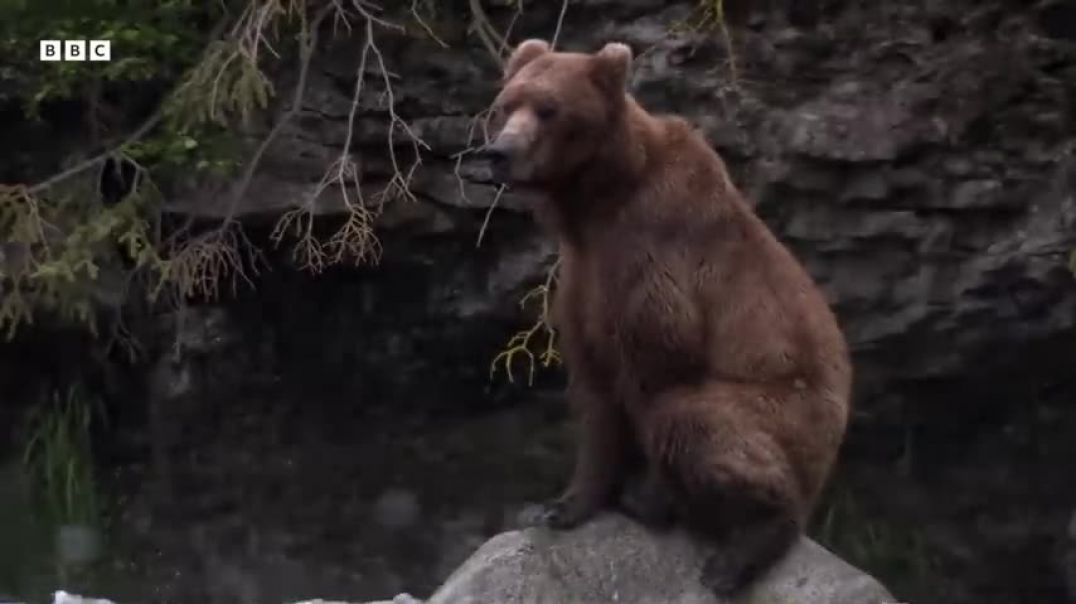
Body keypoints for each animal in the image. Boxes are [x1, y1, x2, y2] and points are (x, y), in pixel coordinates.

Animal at [484, 40, 852, 594]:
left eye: (548, 108)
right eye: (505, 104)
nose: (501, 152)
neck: (595, 202)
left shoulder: (653, 259)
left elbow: (657, 372)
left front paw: (647, 497)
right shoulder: (582, 276)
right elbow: (594, 394)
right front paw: (561, 505)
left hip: (788, 413)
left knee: (703, 421)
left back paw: (739, 551)